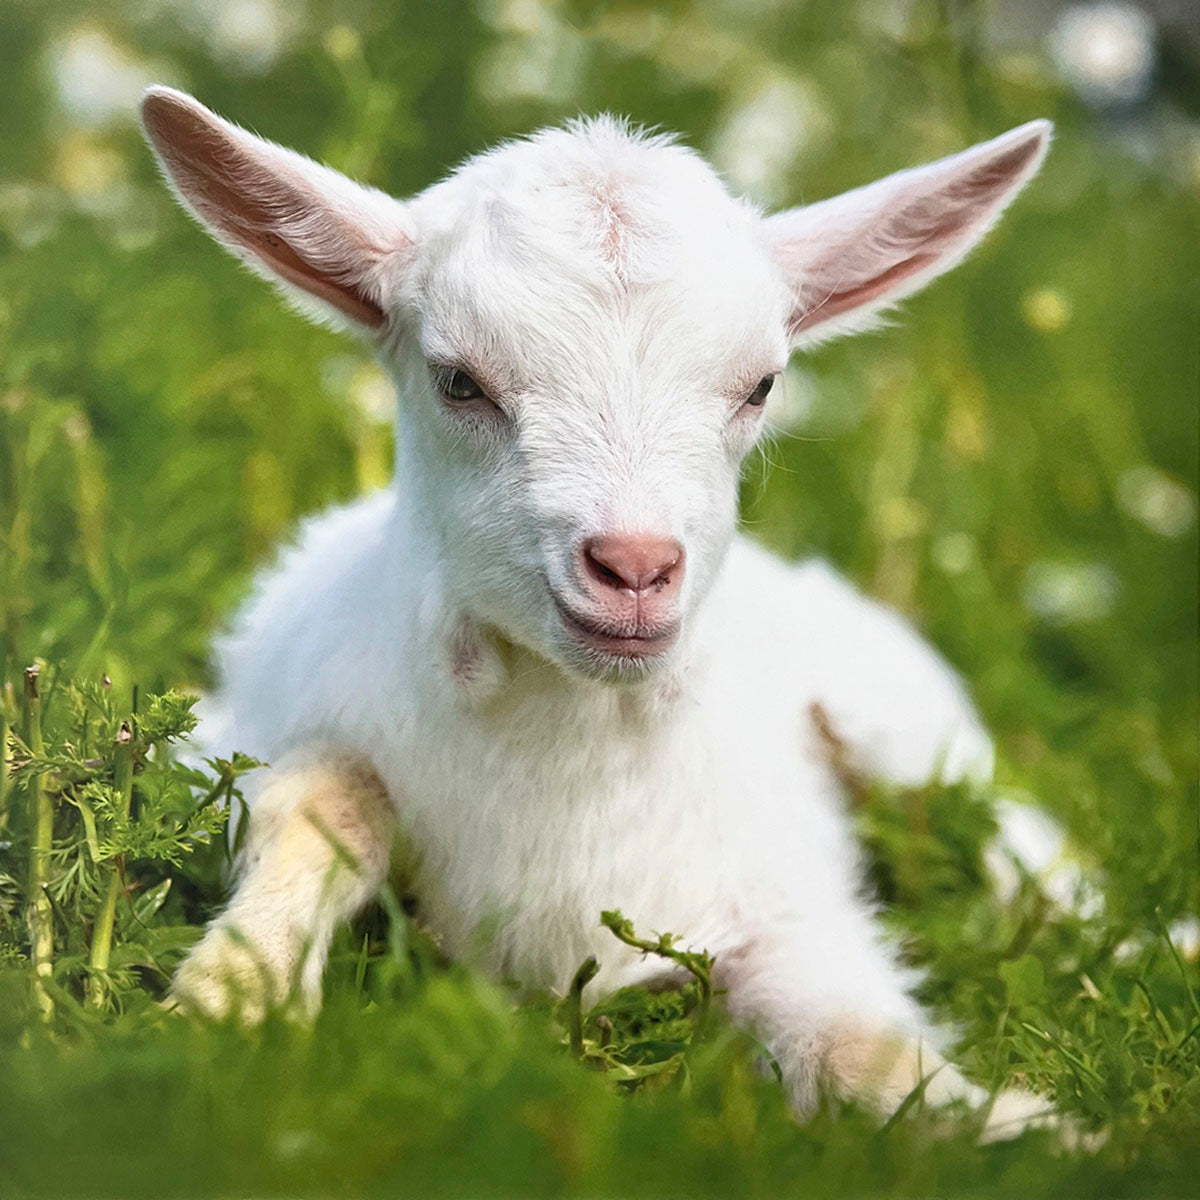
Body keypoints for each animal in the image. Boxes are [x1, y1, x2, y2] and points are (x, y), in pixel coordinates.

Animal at [141, 87, 1052, 1135]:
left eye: (761, 385)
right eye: (459, 380)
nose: (636, 567)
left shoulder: (784, 893)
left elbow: (858, 1045)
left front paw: (1023, 1129)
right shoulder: (226, 738)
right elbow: (326, 795)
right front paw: (229, 999)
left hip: (910, 730)